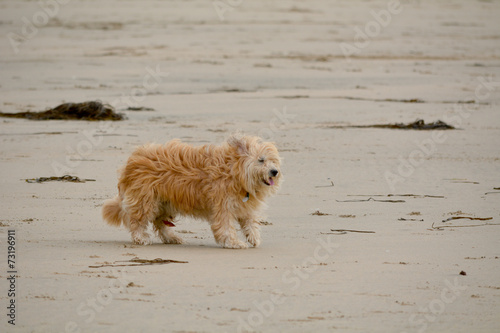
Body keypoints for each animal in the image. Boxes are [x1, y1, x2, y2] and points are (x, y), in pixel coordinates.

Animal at [101, 134, 282, 248]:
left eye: (273, 161)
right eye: (261, 160)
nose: (274, 172)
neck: (233, 171)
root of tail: (130, 163)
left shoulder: (243, 206)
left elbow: (249, 222)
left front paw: (254, 238)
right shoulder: (222, 206)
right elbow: (225, 226)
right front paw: (233, 243)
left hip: (164, 202)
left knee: (160, 223)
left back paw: (172, 238)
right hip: (146, 200)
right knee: (137, 221)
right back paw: (141, 238)